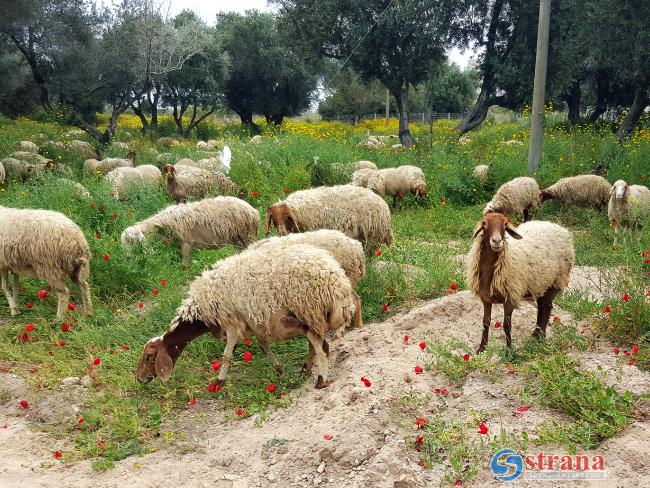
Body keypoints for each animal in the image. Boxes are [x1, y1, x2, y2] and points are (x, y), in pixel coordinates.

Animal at [123, 196, 260, 268]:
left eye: (132, 241)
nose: (128, 257)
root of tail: (253, 211)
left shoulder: (187, 242)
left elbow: (185, 264)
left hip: (247, 235)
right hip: (238, 239)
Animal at [132, 244, 354, 388]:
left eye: (149, 356)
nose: (139, 379)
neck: (201, 312)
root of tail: (337, 279)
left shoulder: (231, 323)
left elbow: (227, 355)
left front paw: (218, 382)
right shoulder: (254, 322)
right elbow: (264, 346)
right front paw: (278, 370)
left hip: (308, 310)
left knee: (321, 347)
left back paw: (321, 381)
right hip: (309, 317)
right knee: (315, 345)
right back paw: (306, 369)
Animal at [466, 213, 572, 350]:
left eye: (505, 225)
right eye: (484, 224)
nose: (497, 241)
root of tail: (557, 226)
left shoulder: (510, 297)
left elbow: (507, 325)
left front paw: (509, 350)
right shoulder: (486, 298)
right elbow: (486, 323)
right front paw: (482, 349)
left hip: (554, 281)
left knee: (547, 307)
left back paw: (540, 336)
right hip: (541, 283)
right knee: (542, 307)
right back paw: (536, 336)